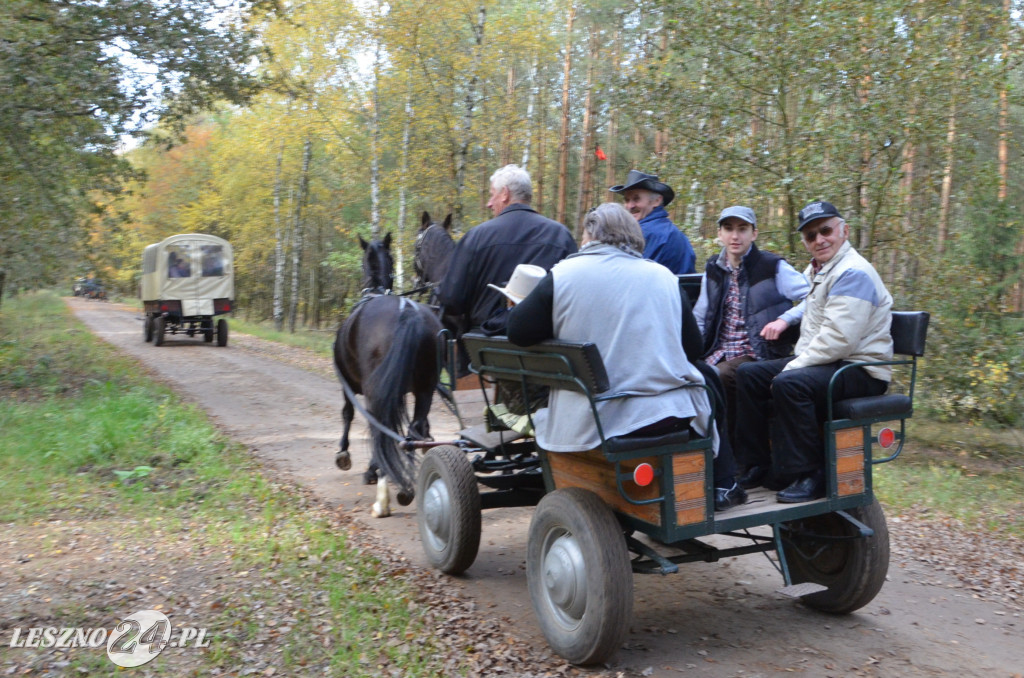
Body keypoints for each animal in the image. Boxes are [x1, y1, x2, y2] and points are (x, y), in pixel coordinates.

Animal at [333, 233, 442, 516]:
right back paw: (406, 487)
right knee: (413, 431)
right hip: (425, 389)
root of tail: (407, 311)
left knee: (380, 428)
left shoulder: (348, 385)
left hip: (377, 390)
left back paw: (383, 499)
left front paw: (345, 456)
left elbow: (348, 414)